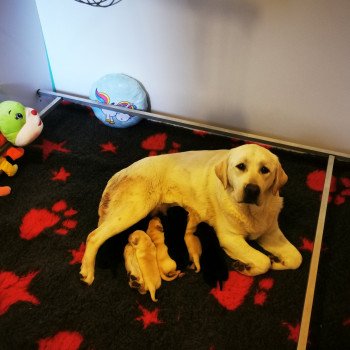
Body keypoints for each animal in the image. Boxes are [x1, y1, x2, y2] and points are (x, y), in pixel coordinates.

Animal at [80, 144, 302, 286]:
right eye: (241, 166)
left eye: (265, 170)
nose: (252, 190)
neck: (251, 211)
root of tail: (120, 172)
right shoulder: (229, 237)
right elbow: (262, 261)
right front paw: (246, 266)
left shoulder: (270, 231)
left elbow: (296, 258)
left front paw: (277, 260)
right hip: (135, 208)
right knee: (94, 236)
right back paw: (87, 272)